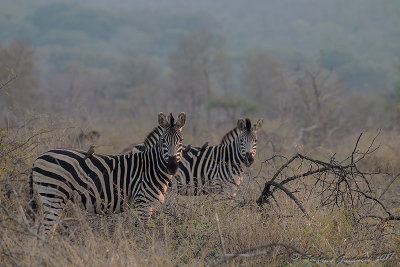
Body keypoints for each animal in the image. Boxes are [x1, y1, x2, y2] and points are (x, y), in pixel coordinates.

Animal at [29, 112, 186, 238]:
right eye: (163, 141)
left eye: (181, 141)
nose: (172, 167)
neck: (150, 167)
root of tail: (38, 158)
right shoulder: (143, 203)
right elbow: (142, 235)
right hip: (53, 194)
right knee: (45, 232)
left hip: (57, 198)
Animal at [130, 118, 262, 198]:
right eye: (241, 141)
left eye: (256, 141)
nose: (249, 160)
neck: (227, 159)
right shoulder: (218, 188)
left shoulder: (232, 190)